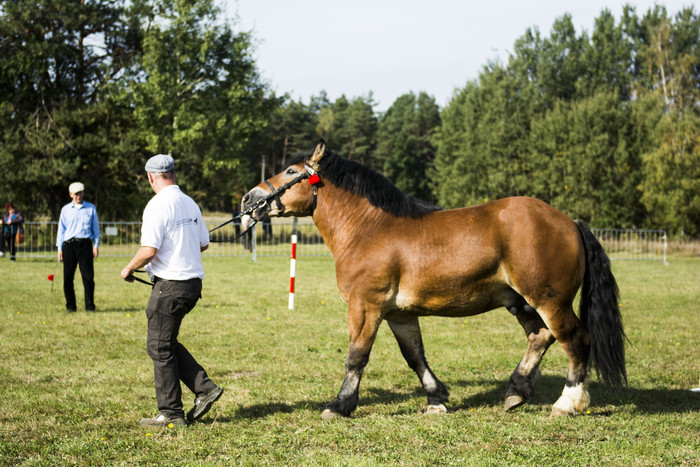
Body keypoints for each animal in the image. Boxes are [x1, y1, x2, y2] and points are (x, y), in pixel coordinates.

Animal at [242, 141, 628, 418]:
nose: (249, 199)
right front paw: (436, 399)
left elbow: (356, 356)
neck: (369, 229)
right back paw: (517, 391)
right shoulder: (399, 313)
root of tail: (570, 222)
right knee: (540, 336)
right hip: (520, 301)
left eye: (291, 170)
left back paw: (567, 403)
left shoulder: (365, 307)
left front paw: (340, 405)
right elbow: (415, 356)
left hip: (550, 300)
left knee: (575, 339)